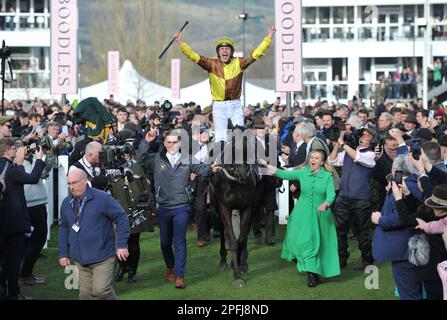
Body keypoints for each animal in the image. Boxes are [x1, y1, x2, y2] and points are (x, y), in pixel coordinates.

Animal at [210, 126, 260, 286]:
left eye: (247, 144)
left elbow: (241, 239)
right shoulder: (224, 207)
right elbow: (232, 240)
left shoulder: (247, 207)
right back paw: (223, 261)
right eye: (232, 144)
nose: (243, 174)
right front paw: (237, 276)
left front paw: (240, 265)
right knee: (222, 230)